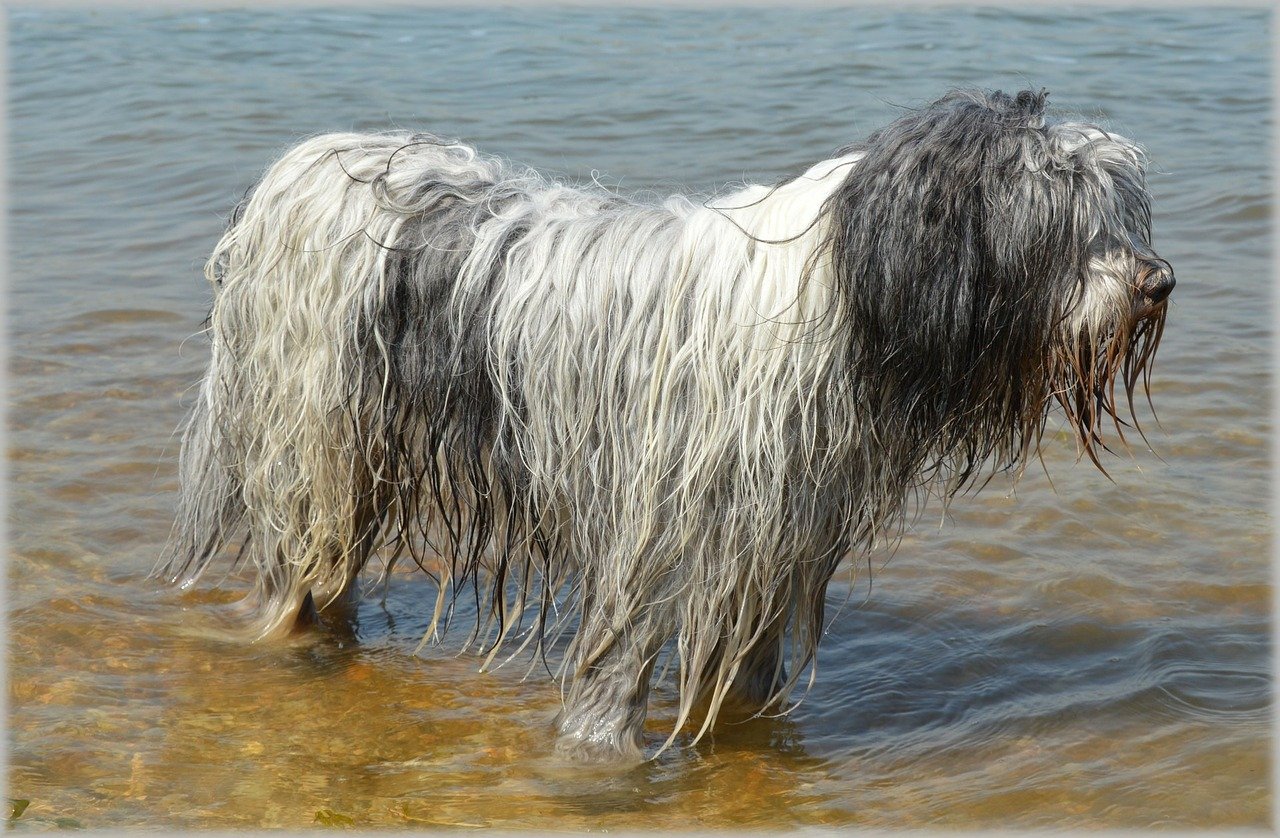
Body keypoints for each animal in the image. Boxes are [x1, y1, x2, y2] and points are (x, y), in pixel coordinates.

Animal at [157, 88, 1172, 762]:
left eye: (1121, 214)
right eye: (1061, 222)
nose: (1157, 280)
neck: (842, 292)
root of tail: (302, 166)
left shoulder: (773, 540)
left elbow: (748, 669)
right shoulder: (650, 533)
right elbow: (615, 668)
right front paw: (595, 761)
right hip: (311, 443)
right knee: (295, 571)